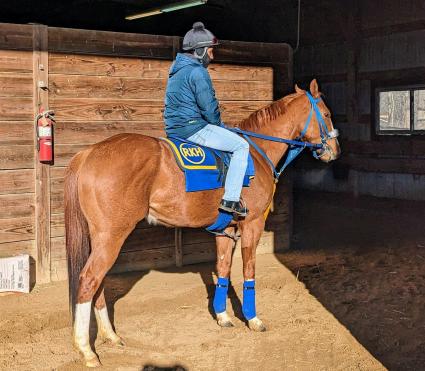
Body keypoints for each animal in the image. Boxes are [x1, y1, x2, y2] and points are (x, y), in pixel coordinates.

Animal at [64, 80, 340, 368]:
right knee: (89, 280)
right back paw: (86, 350)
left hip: (101, 238)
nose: (335, 152)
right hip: (112, 236)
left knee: (98, 282)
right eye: (327, 114)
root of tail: (89, 152)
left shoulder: (226, 231)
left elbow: (223, 269)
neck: (255, 152)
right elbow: (249, 271)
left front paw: (223, 317)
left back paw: (110, 336)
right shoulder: (252, 226)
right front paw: (252, 319)